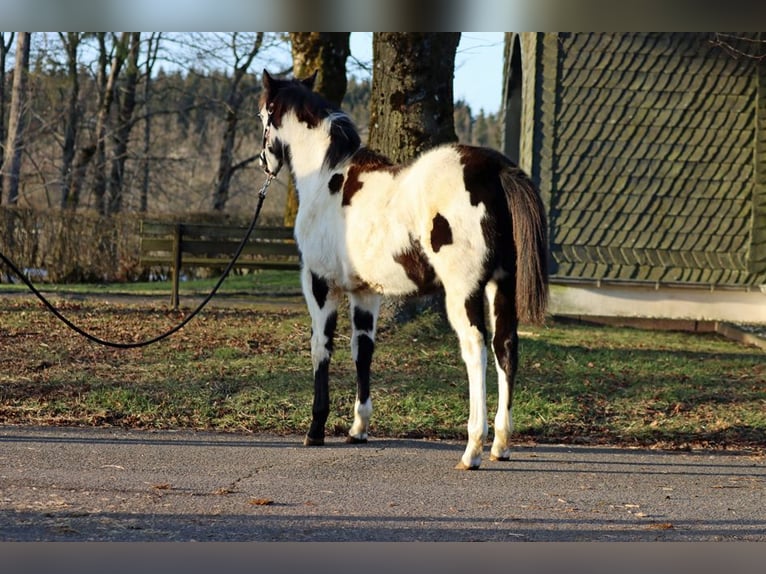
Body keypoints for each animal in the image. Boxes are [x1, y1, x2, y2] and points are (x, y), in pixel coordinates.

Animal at [260, 70, 548, 470]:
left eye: (263, 114)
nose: (264, 163)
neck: (327, 177)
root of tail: (497, 169)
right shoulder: (365, 293)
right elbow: (362, 350)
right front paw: (358, 429)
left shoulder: (319, 285)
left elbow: (321, 348)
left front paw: (315, 430)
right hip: (500, 287)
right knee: (505, 347)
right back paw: (501, 445)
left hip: (463, 293)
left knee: (475, 350)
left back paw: (473, 448)